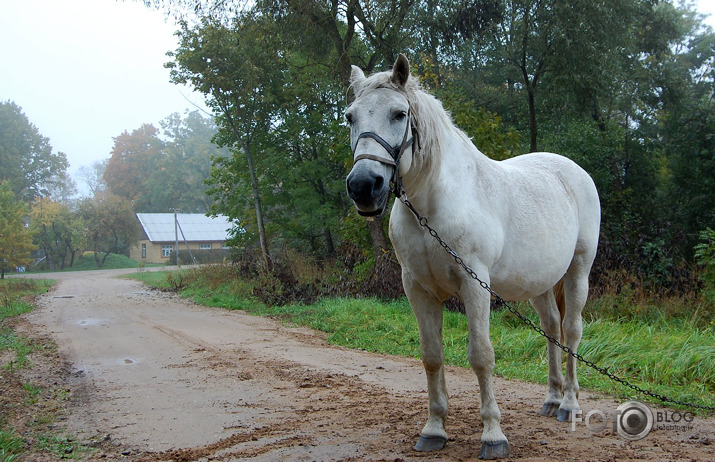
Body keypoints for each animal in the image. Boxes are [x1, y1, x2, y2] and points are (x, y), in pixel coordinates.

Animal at [344, 56, 600, 460]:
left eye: (399, 113)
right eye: (350, 117)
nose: (364, 186)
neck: (432, 208)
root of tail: (573, 171)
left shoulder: (474, 285)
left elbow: (481, 355)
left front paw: (493, 435)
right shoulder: (417, 289)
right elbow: (431, 356)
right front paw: (434, 429)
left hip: (578, 271)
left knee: (572, 331)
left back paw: (570, 405)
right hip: (540, 284)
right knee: (552, 330)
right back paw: (552, 400)